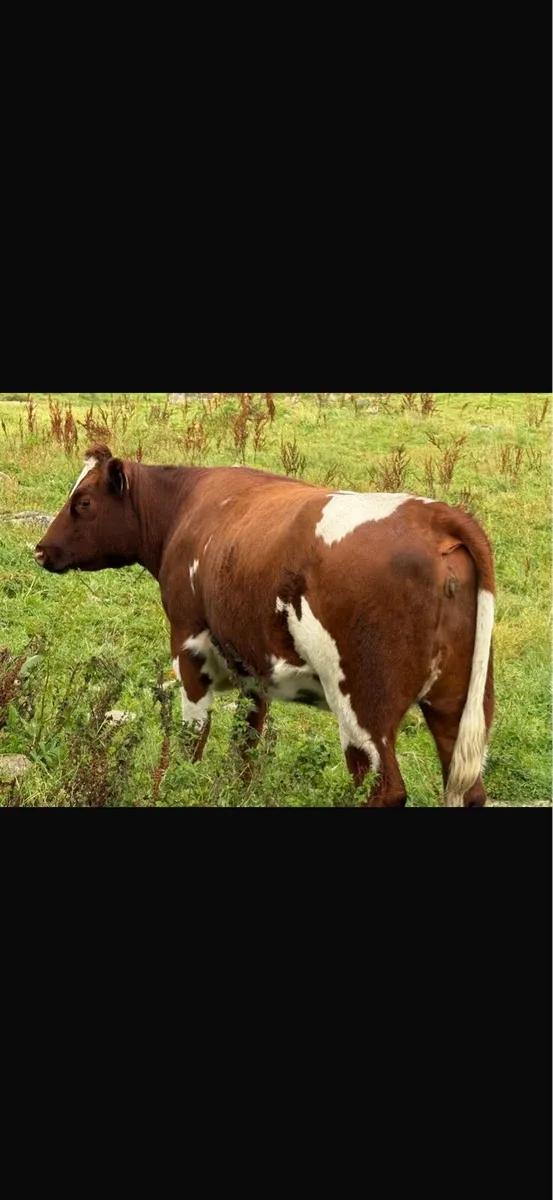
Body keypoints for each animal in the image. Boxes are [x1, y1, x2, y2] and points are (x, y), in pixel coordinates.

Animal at [35, 445, 496, 807]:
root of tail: (431, 515)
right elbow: (246, 745)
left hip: (362, 705)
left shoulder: (189, 642)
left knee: (384, 790)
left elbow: (191, 739)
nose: (40, 550)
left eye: (83, 502)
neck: (185, 508)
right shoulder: (252, 665)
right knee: (468, 788)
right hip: (458, 702)